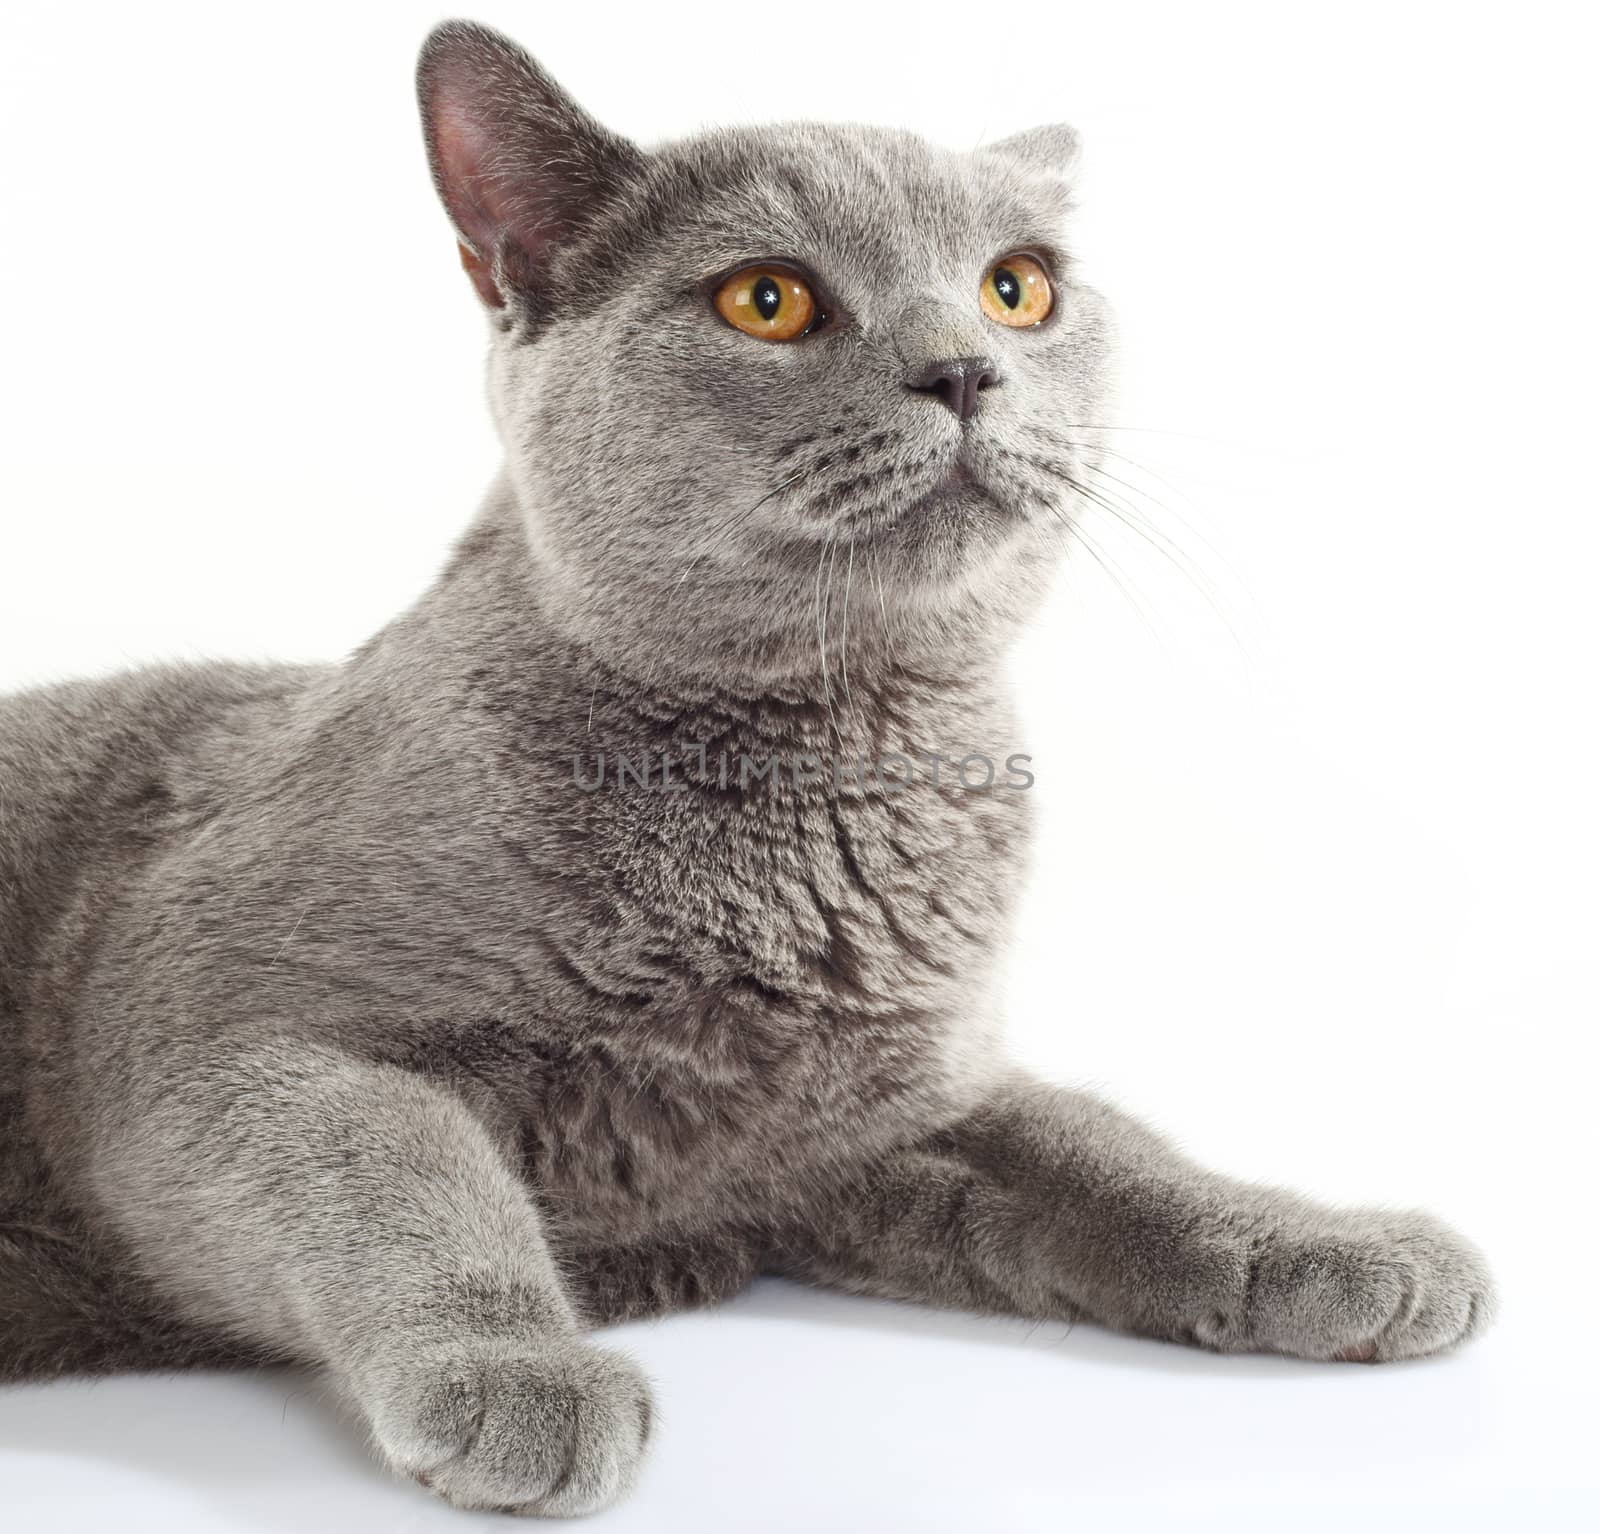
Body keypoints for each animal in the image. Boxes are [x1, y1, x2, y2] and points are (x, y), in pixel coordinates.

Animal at [0, 14, 1491, 1522]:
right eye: (765, 301)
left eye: (1018, 288)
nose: (966, 369)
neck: (822, 791)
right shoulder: (214, 1032)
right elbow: (406, 1172)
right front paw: (522, 1369)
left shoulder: (877, 1119)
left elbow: (1105, 1152)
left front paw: (1319, 1241)